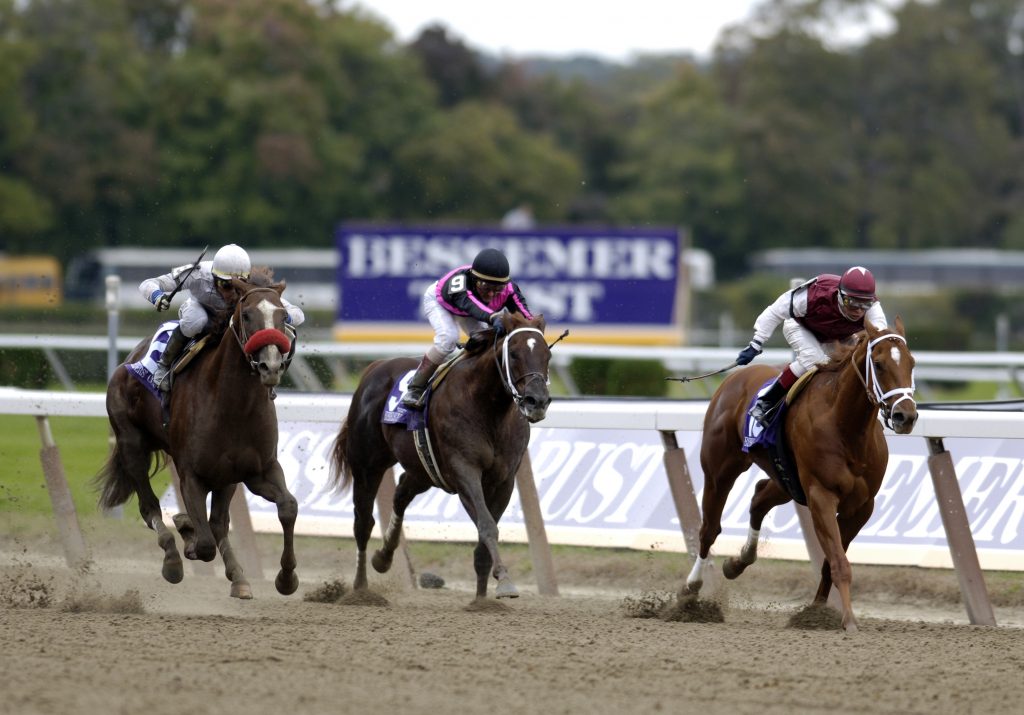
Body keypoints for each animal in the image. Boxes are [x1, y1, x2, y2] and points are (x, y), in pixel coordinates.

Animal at [95, 266, 299, 594]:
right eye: (246, 315)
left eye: (283, 316)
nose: (270, 366)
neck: (234, 405)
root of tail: (130, 358)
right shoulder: (191, 474)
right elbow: (203, 544)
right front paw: (186, 533)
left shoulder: (258, 470)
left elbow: (288, 506)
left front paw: (287, 577)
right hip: (131, 444)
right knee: (149, 507)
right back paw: (172, 558)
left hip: (227, 477)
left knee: (218, 522)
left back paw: (239, 578)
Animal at [327, 311, 552, 594]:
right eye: (513, 354)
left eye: (547, 354)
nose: (537, 401)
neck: (488, 409)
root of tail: (375, 366)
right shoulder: (464, 471)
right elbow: (487, 525)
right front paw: (504, 581)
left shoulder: (504, 480)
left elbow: (484, 539)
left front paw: (483, 598)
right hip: (367, 465)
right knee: (363, 523)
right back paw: (360, 588)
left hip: (422, 469)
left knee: (401, 494)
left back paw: (383, 558)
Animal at [684, 315, 917, 626]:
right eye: (878, 364)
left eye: (911, 363)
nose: (906, 416)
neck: (845, 427)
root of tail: (734, 378)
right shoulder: (821, 495)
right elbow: (839, 561)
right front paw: (848, 621)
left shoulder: (862, 506)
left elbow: (831, 562)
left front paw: (817, 612)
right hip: (719, 471)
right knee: (709, 529)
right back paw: (690, 591)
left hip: (785, 479)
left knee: (758, 499)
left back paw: (738, 562)